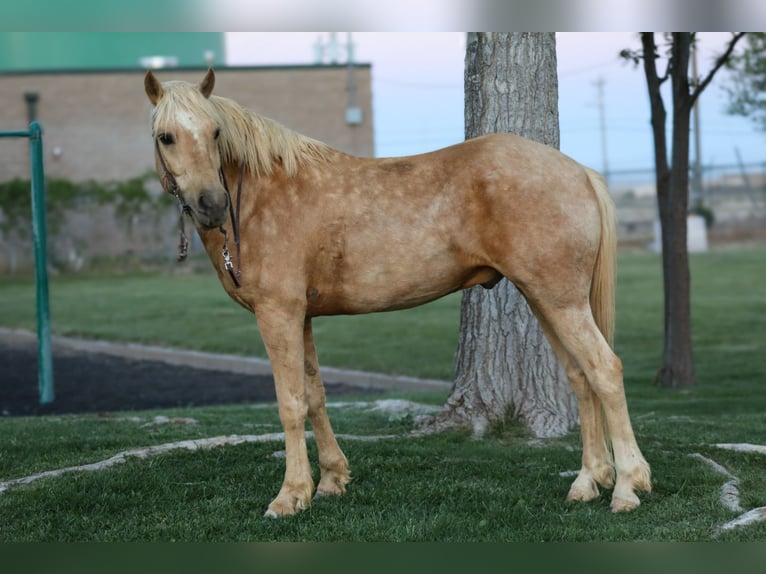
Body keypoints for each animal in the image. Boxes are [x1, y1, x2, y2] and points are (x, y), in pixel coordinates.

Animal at [144, 69, 651, 518]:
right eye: (166, 136)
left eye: (214, 132)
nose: (212, 204)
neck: (261, 194)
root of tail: (578, 170)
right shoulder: (301, 316)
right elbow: (315, 394)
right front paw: (332, 480)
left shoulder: (277, 314)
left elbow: (290, 404)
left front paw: (289, 497)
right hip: (545, 299)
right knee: (580, 377)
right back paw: (587, 482)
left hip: (561, 300)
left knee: (605, 370)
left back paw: (628, 485)